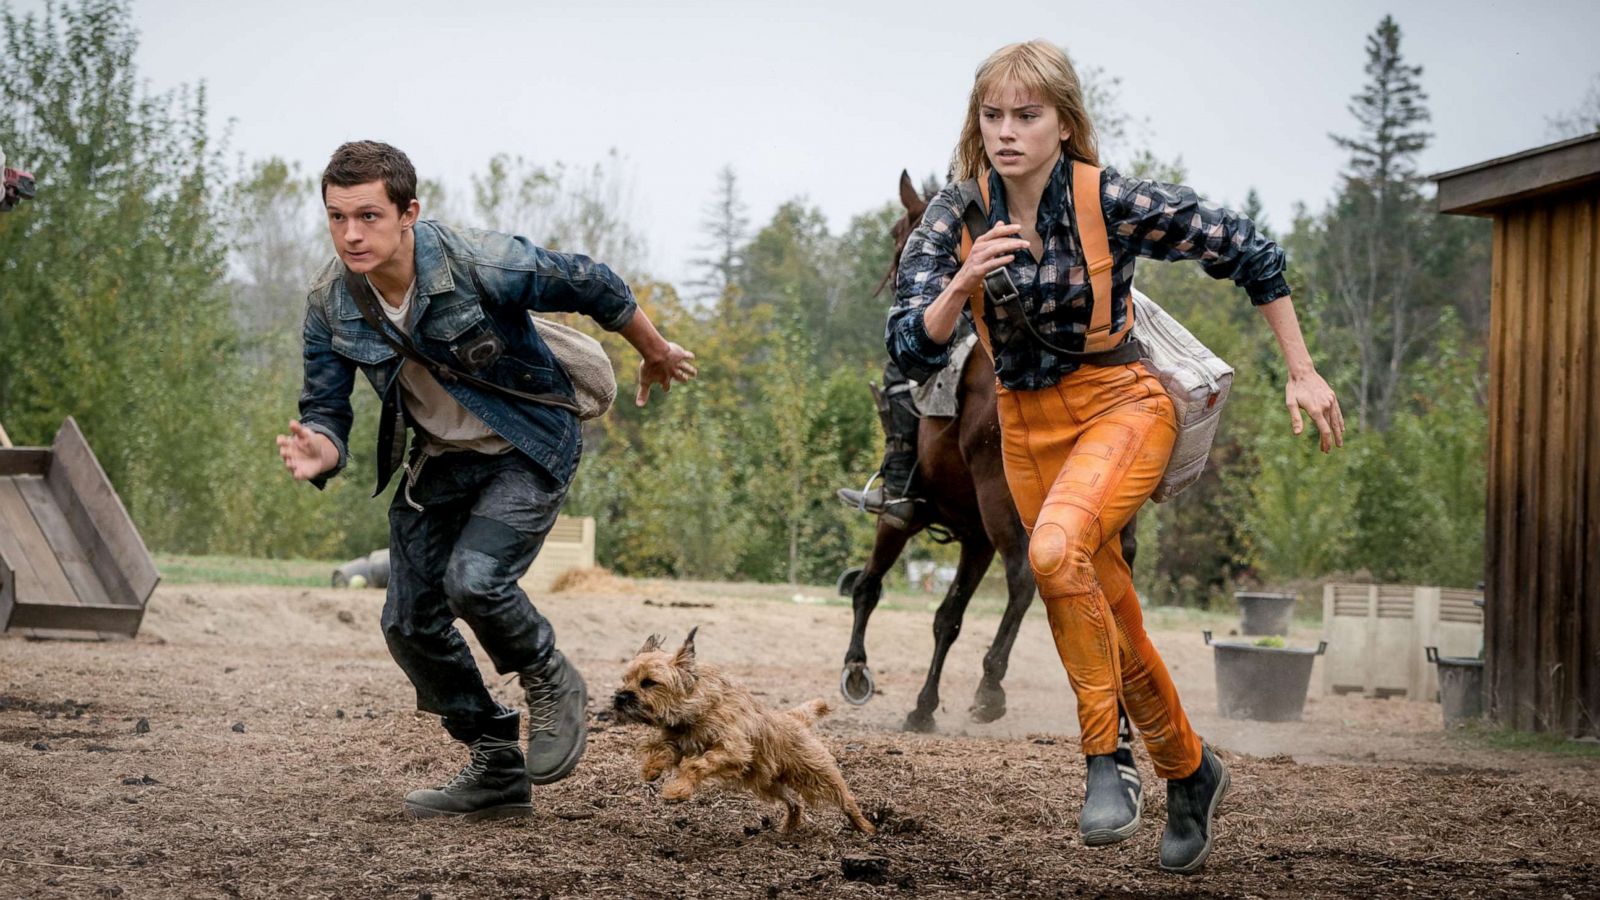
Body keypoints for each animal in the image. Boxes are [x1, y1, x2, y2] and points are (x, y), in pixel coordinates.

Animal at [608, 627, 876, 832]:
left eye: (648, 683)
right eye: (626, 680)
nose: (620, 697)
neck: (699, 708)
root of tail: (794, 719)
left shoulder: (732, 750)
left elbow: (697, 765)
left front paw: (678, 790)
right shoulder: (679, 738)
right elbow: (663, 748)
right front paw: (652, 768)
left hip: (816, 772)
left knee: (845, 798)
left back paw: (865, 827)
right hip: (768, 782)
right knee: (795, 801)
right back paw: (789, 828)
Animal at [838, 169, 1139, 730]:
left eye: (899, 233)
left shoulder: (901, 518)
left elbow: (869, 585)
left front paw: (857, 671)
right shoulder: (974, 538)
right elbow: (948, 617)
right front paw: (923, 706)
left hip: (1002, 500)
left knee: (1023, 576)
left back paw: (990, 687)